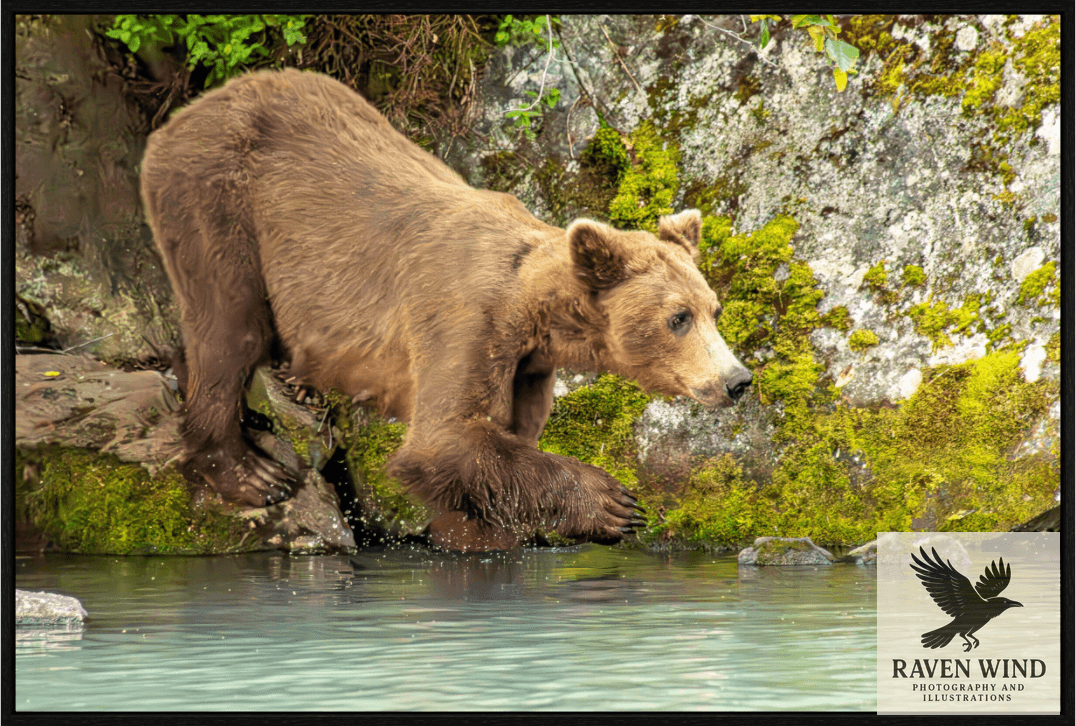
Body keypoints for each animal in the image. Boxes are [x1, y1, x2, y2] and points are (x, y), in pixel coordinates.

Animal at [140, 68, 753, 550]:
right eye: (678, 318)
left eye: (715, 309)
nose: (738, 379)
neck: (536, 314)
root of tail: (182, 114)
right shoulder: (465, 317)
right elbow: (444, 438)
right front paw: (614, 505)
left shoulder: (527, 366)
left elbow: (494, 453)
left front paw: (480, 534)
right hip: (218, 200)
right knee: (229, 326)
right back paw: (250, 471)